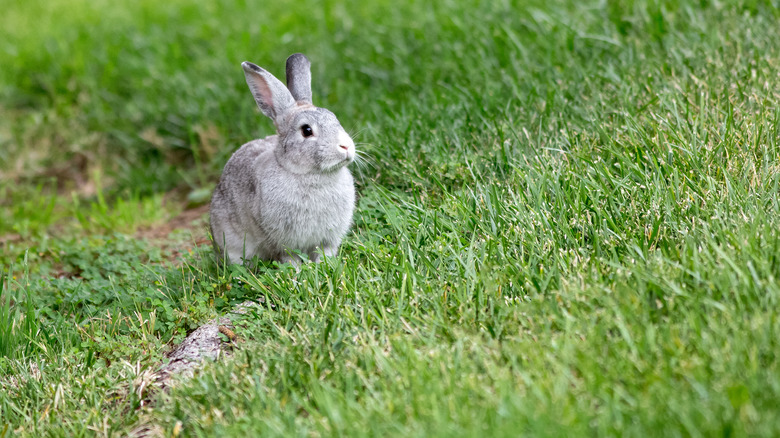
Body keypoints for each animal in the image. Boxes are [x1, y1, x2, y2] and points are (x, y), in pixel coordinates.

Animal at [207, 53, 354, 266]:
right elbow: (290, 258)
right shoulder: (282, 241)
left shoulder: (327, 239)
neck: (309, 174)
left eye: (335, 118)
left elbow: (324, 253)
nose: (346, 146)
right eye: (306, 130)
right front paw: (298, 272)